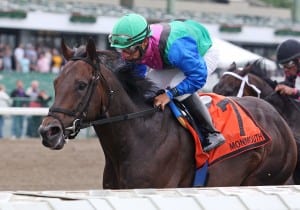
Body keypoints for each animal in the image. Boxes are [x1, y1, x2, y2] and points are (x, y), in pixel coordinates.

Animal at [38, 39, 298, 189]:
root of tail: (279, 121)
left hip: (262, 178)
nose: (48, 131)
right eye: (56, 82)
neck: (139, 136)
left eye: (81, 85)